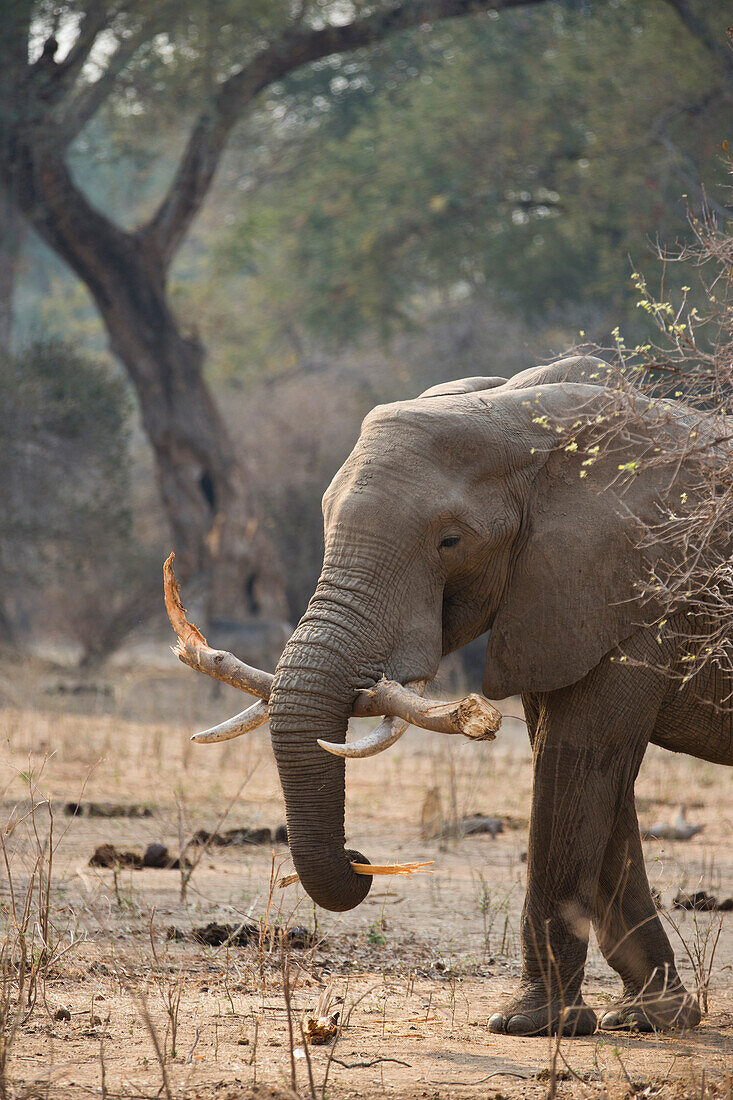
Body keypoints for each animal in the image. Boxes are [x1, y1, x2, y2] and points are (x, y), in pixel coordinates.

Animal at [167, 354, 730, 1038]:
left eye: (450, 541)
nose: (358, 857)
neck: (522, 421)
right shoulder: (555, 602)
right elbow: (591, 774)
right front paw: (652, 1019)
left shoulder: (642, 594)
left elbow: (579, 762)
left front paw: (529, 1026)